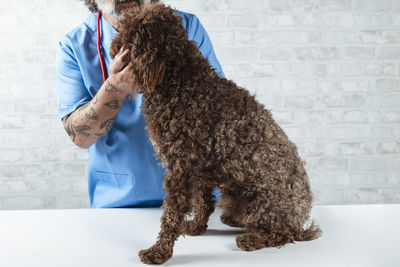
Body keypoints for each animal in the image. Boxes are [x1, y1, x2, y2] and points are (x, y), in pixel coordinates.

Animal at [110, 2, 322, 266]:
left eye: (128, 33)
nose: (112, 48)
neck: (180, 81)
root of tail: (301, 217)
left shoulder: (180, 167)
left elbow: (171, 213)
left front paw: (159, 251)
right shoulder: (200, 166)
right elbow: (203, 201)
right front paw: (197, 227)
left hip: (266, 203)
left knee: (284, 234)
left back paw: (252, 239)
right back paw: (234, 220)